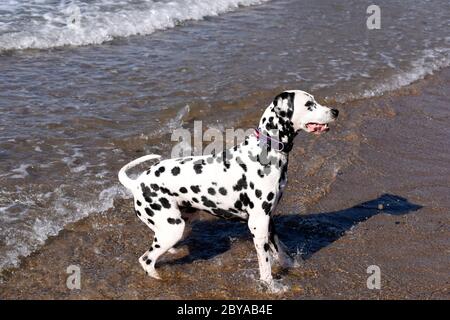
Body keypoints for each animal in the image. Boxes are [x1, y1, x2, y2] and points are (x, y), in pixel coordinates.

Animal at [118, 89, 340, 290]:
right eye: (309, 104)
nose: (335, 111)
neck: (266, 150)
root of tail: (137, 182)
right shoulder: (258, 225)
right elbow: (266, 265)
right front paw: (271, 286)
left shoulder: (269, 220)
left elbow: (280, 249)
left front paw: (291, 265)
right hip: (172, 229)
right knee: (146, 260)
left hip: (177, 224)